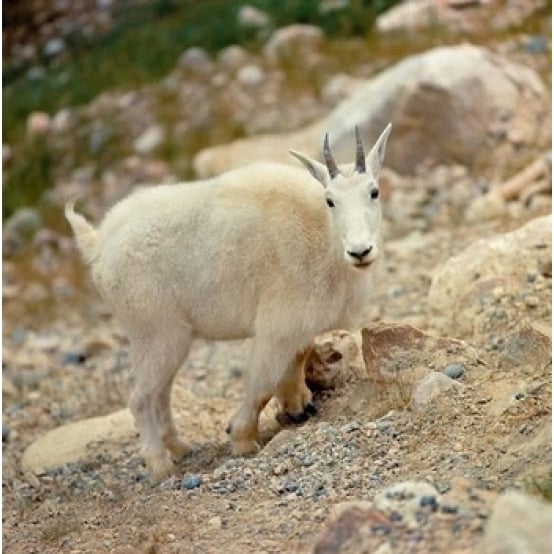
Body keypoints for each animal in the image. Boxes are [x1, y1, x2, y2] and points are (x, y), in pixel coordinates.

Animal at [64, 124, 390, 478]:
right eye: (330, 200)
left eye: (374, 192)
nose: (360, 251)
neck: (323, 233)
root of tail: (98, 245)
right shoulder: (278, 322)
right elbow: (262, 383)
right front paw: (242, 438)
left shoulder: (299, 323)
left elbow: (296, 360)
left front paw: (298, 407)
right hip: (158, 331)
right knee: (140, 398)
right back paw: (160, 465)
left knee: (160, 393)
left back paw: (180, 447)